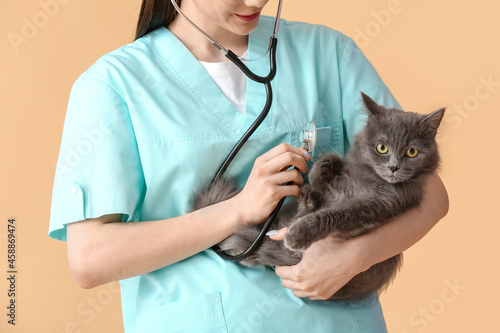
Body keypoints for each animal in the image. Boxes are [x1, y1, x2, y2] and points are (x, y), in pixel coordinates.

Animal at [192, 92, 446, 300]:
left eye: (411, 152)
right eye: (382, 148)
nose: (393, 167)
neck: (367, 181)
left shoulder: (376, 207)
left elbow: (332, 215)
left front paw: (297, 234)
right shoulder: (348, 170)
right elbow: (331, 158)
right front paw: (317, 174)